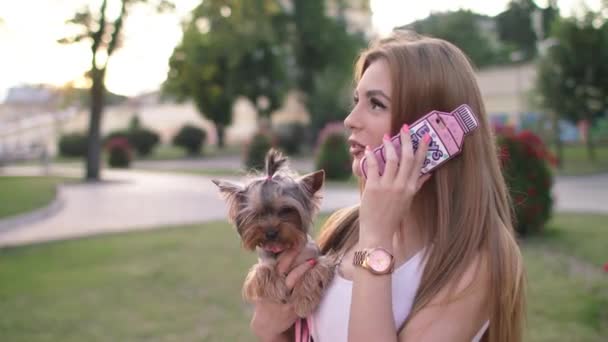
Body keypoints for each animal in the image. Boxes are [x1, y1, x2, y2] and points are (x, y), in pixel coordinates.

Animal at [211, 150, 334, 318]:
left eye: (286, 210)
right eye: (257, 214)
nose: (270, 233)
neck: (280, 247)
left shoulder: (315, 259)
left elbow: (315, 270)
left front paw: (303, 301)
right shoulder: (263, 262)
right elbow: (263, 270)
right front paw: (278, 290)